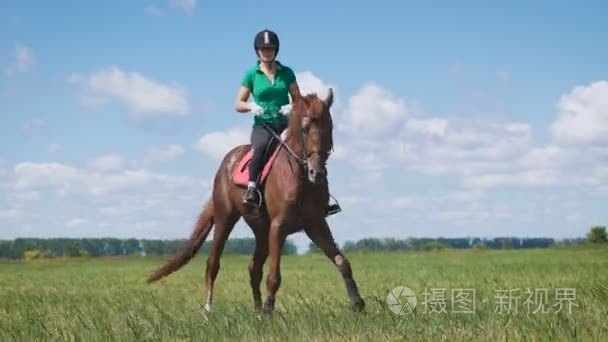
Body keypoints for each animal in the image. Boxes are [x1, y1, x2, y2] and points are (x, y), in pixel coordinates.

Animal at [146, 88, 366, 316]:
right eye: (305, 129)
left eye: (329, 127)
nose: (318, 173)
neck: (300, 178)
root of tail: (227, 161)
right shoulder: (279, 226)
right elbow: (274, 276)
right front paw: (269, 311)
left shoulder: (316, 224)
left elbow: (342, 262)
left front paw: (358, 303)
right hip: (225, 218)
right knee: (213, 264)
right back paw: (208, 310)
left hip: (261, 230)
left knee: (254, 268)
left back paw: (257, 309)